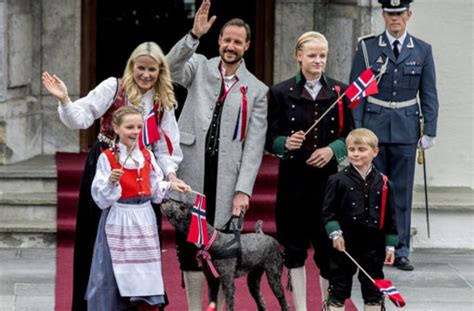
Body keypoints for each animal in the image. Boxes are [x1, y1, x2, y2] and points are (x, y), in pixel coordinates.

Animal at [161, 200, 290, 311]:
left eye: (182, 207)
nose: (164, 200)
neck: (212, 241)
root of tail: (264, 235)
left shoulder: (228, 282)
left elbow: (229, 305)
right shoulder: (212, 281)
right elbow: (212, 302)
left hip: (274, 277)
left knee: (284, 303)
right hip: (253, 279)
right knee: (261, 301)